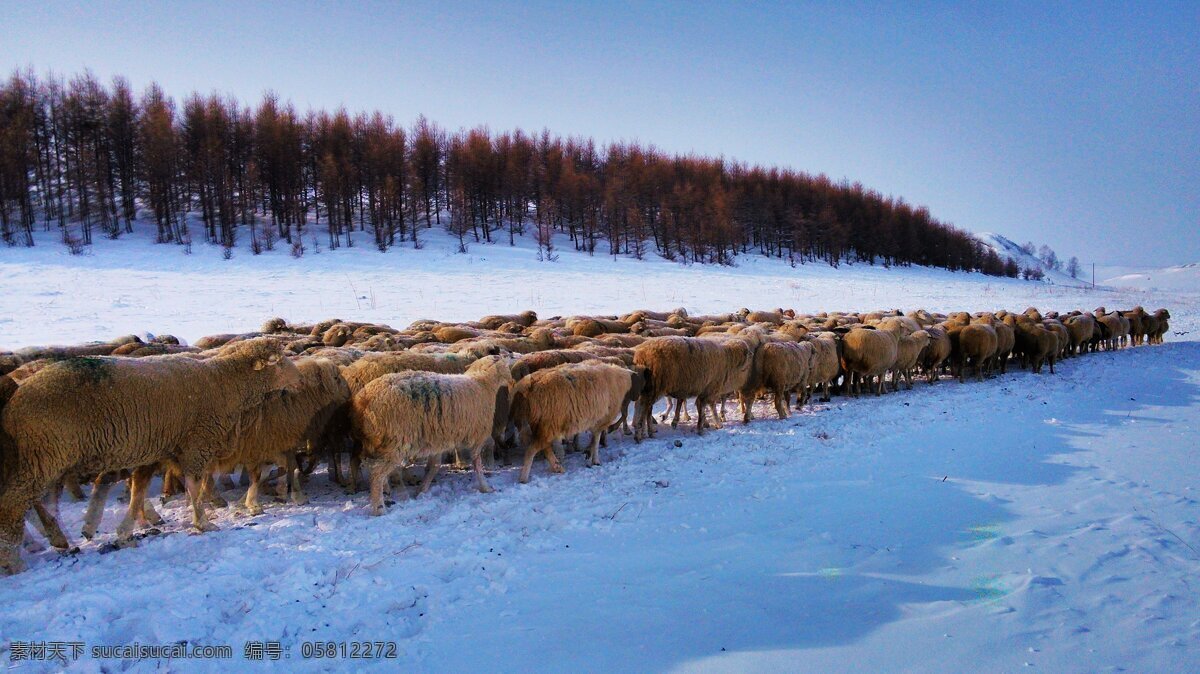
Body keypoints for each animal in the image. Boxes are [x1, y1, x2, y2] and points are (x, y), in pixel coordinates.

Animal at [0, 335, 300, 570]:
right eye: (279, 361)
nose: (298, 379)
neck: (225, 383)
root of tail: (15, 404)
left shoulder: (159, 448)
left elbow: (139, 489)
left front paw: (126, 530)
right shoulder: (196, 442)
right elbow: (193, 485)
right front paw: (202, 522)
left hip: (43, 458)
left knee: (35, 502)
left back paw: (57, 539)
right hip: (46, 454)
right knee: (14, 504)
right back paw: (15, 561)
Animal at [350, 354, 513, 510]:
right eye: (504, 362)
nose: (511, 382)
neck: (483, 384)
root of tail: (363, 399)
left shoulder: (439, 438)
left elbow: (434, 466)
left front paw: (421, 490)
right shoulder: (477, 436)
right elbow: (477, 463)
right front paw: (485, 487)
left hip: (375, 442)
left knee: (370, 466)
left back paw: (387, 490)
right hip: (394, 441)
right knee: (376, 474)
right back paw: (379, 508)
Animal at [508, 359, 638, 479]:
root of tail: (528, 385)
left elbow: (593, 439)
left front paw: (588, 453)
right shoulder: (602, 419)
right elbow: (596, 439)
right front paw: (595, 460)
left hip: (542, 424)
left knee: (545, 447)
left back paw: (557, 466)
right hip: (549, 423)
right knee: (532, 449)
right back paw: (524, 478)